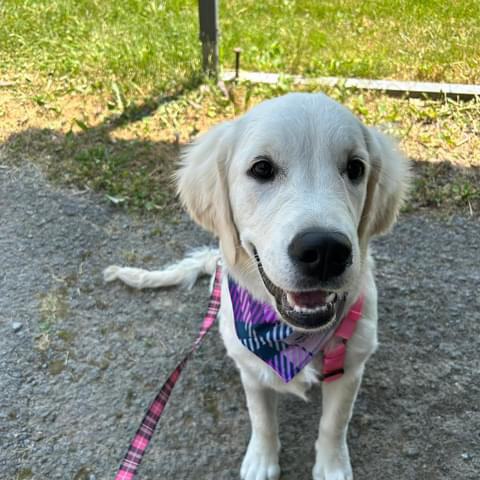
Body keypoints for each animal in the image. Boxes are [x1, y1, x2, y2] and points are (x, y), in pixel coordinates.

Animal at [105, 92, 408, 478]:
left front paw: (331, 466)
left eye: (355, 168)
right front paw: (262, 460)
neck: (290, 335)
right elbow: (262, 419)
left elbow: (334, 423)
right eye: (262, 169)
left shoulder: (350, 368)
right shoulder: (250, 367)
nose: (326, 251)